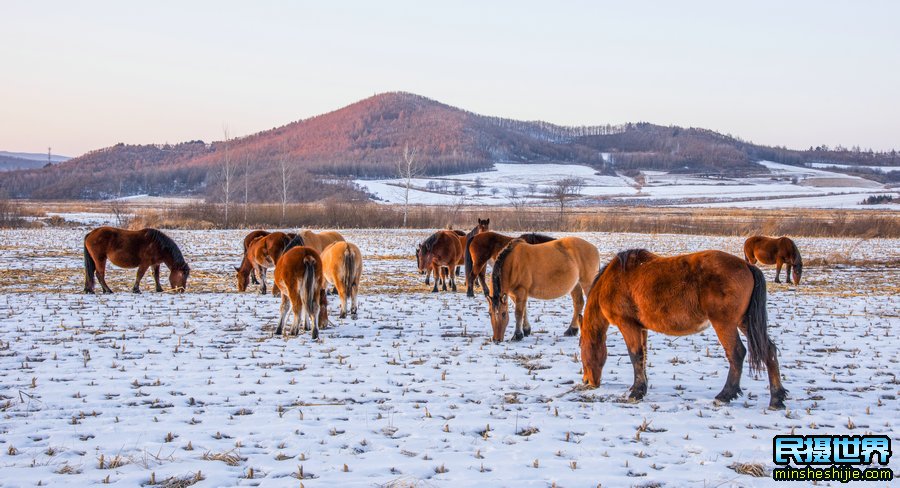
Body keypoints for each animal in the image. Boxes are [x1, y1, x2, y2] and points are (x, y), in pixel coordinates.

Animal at [580, 250, 784, 410]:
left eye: (581, 350)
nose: (587, 381)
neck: (614, 279)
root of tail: (747, 265)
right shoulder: (641, 328)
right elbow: (643, 356)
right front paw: (640, 388)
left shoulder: (627, 325)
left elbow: (635, 355)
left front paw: (636, 393)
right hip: (744, 322)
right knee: (768, 351)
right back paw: (776, 399)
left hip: (725, 323)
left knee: (736, 353)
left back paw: (725, 395)